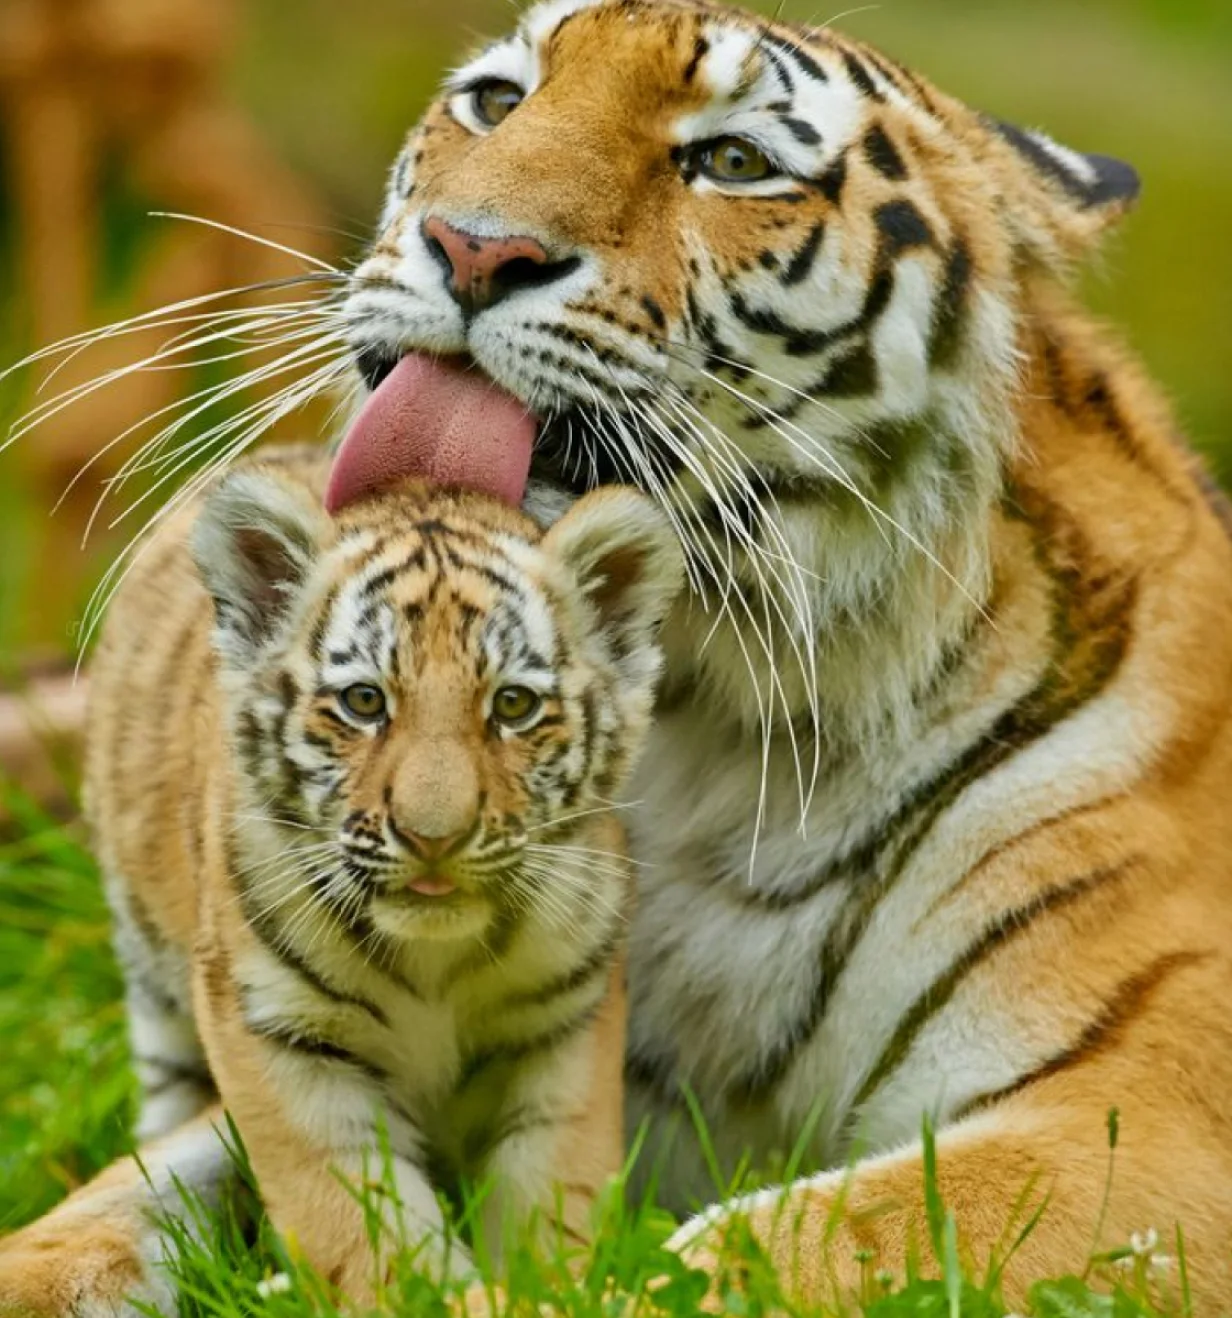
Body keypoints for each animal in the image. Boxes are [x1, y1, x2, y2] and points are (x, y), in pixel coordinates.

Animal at [0, 446, 685, 1316]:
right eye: (364, 702)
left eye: (513, 706)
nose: (434, 838)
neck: (435, 958)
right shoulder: (282, 1037)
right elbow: (360, 1219)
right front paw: (430, 1292)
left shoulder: (565, 1021)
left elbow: (552, 1182)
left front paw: (548, 1283)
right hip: (154, 984)